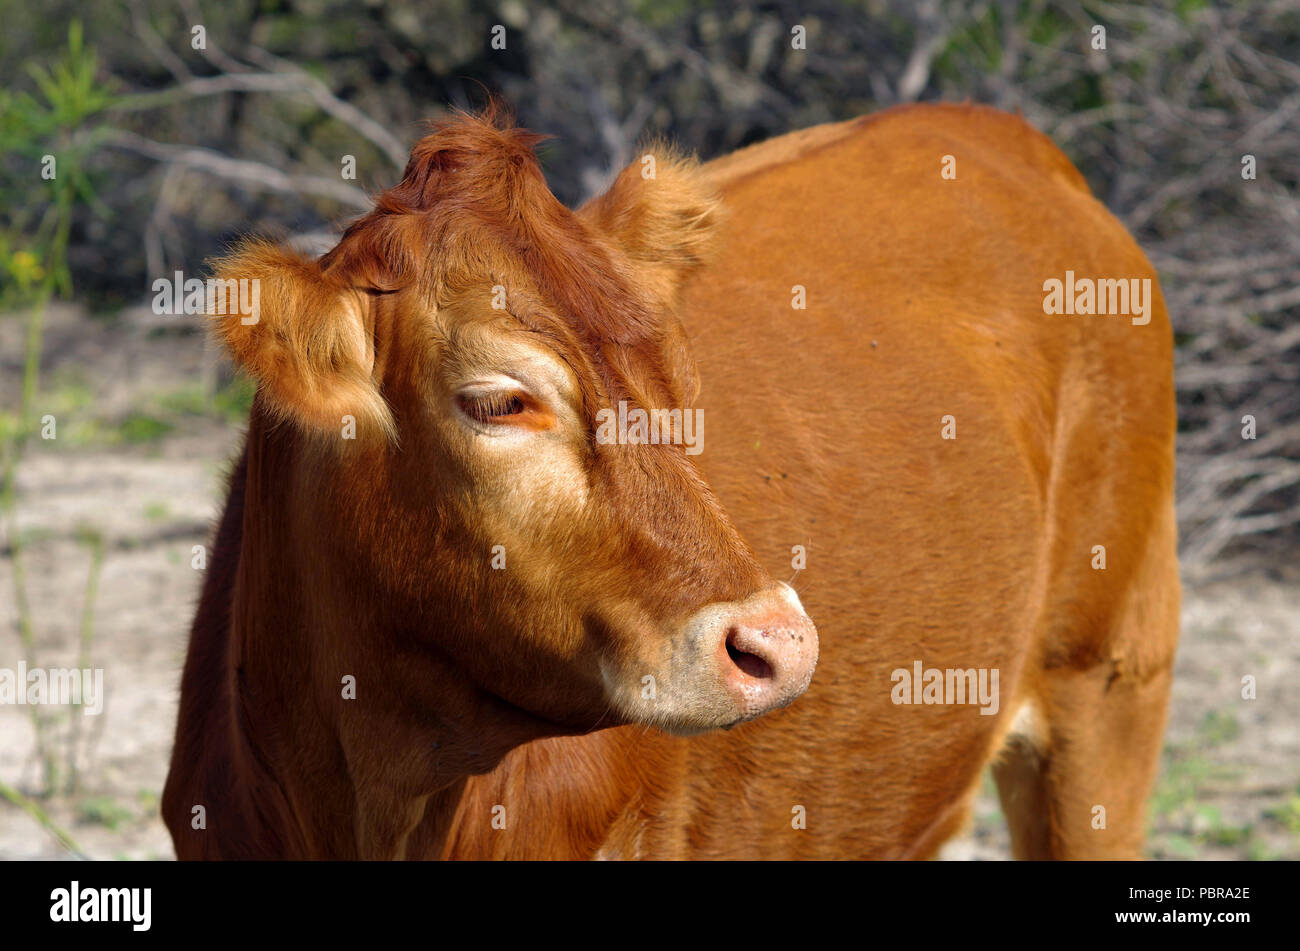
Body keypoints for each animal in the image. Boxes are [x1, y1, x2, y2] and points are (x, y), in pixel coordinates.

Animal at [162, 101, 1180, 860]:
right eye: (498, 401)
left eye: (679, 382)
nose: (778, 643)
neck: (383, 785)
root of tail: (1001, 133)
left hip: (1110, 684)